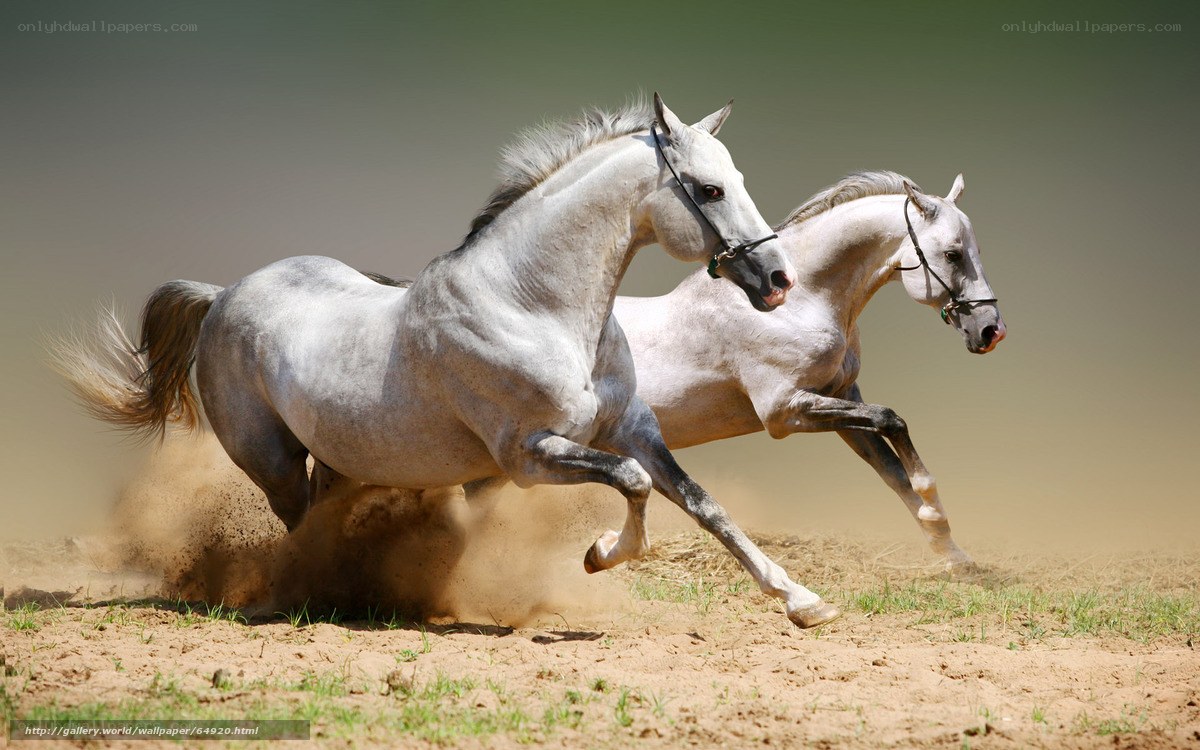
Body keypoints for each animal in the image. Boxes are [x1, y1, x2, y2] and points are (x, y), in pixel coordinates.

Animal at [55, 94, 844, 628]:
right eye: (709, 189)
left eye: (735, 177)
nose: (777, 280)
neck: (534, 306)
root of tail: (222, 295)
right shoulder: (529, 456)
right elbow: (633, 484)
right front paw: (599, 554)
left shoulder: (633, 429)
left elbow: (702, 504)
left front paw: (802, 601)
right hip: (271, 460)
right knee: (298, 525)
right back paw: (307, 595)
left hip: (340, 458)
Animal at [615, 172, 1005, 572]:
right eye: (953, 254)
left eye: (976, 251)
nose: (991, 331)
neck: (798, 304)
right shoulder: (784, 411)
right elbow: (892, 420)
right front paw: (933, 508)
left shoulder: (840, 399)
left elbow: (893, 472)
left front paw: (953, 553)